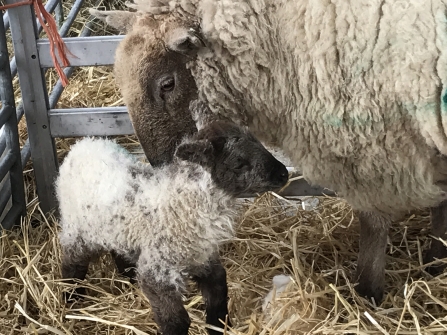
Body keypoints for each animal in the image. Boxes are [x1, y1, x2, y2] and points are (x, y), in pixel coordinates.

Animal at [56, 115, 288, 335]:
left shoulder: (204, 259)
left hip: (116, 230)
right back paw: (70, 297)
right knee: (71, 264)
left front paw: (219, 327)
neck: (181, 203)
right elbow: (175, 322)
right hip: (77, 230)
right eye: (239, 163)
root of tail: (84, 144)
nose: (284, 173)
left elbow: (218, 299)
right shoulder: (158, 273)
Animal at [91, 0, 447, 304]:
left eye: (167, 84)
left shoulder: (377, 151)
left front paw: (368, 292)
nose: (166, 166)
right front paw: (437, 261)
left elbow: (374, 222)